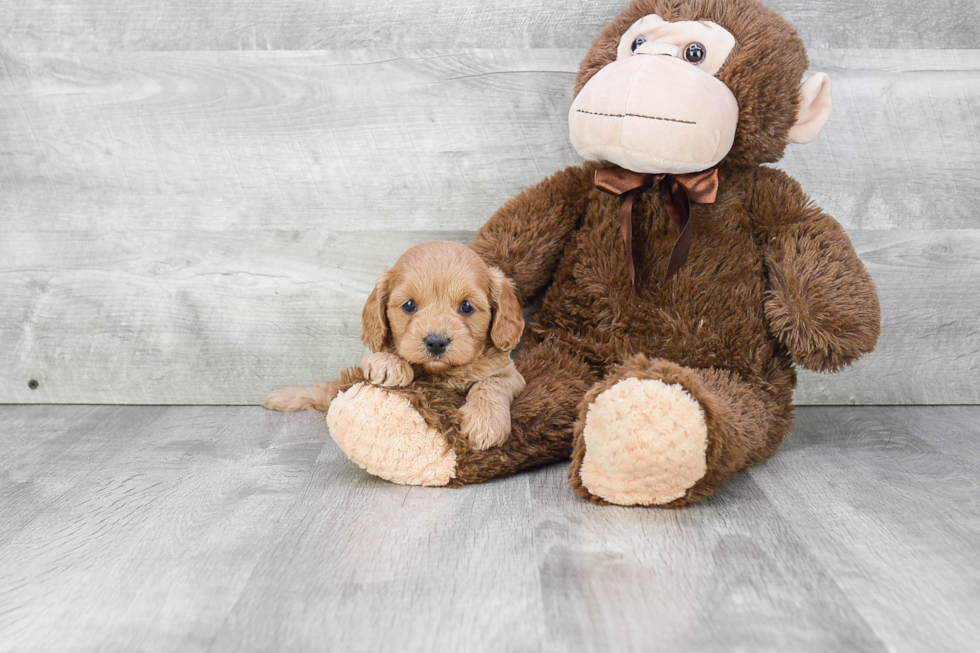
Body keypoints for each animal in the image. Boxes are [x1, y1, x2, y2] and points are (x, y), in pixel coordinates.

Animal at [262, 242, 528, 450]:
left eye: (467, 306)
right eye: (409, 305)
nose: (436, 342)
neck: (439, 375)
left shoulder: (510, 373)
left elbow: (490, 383)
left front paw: (486, 423)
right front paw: (389, 364)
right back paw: (281, 396)